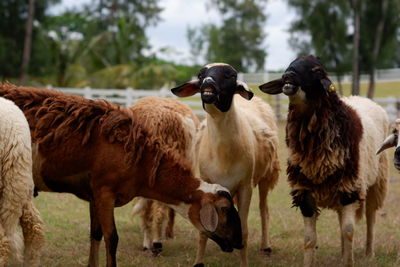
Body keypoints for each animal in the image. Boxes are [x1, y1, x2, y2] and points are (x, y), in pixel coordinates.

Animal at [170, 63, 280, 267]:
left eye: (231, 75)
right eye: (200, 74)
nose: (208, 83)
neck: (223, 154)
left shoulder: (246, 186)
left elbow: (244, 230)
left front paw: (243, 263)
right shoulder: (207, 184)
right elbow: (204, 230)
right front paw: (198, 262)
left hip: (266, 176)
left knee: (264, 210)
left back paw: (266, 246)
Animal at [258, 55, 390, 266]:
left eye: (316, 70)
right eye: (290, 64)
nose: (287, 76)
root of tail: (359, 97)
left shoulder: (350, 188)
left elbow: (349, 231)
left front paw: (349, 263)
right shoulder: (305, 192)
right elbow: (310, 239)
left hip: (377, 181)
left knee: (370, 217)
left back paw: (369, 253)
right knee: (342, 220)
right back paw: (343, 253)